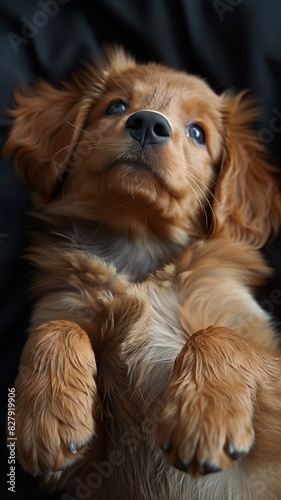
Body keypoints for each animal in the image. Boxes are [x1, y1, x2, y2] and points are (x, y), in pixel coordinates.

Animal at [3, 47, 280, 500]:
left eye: (198, 133)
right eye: (115, 107)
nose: (149, 123)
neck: (140, 251)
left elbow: (217, 334)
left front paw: (204, 417)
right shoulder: (88, 469)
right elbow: (58, 326)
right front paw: (48, 418)